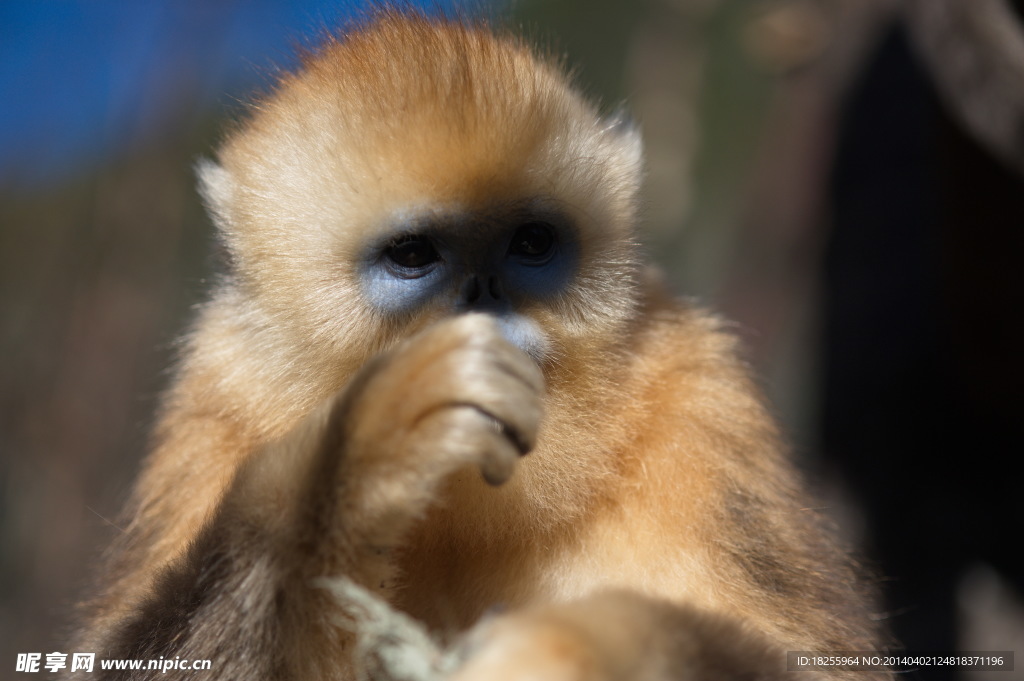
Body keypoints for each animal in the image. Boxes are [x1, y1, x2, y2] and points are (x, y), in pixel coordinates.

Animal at [70, 9, 888, 679]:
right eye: (412, 255)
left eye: (531, 243)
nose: (487, 301)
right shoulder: (215, 401)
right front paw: (354, 459)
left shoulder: (696, 385)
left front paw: (568, 648)